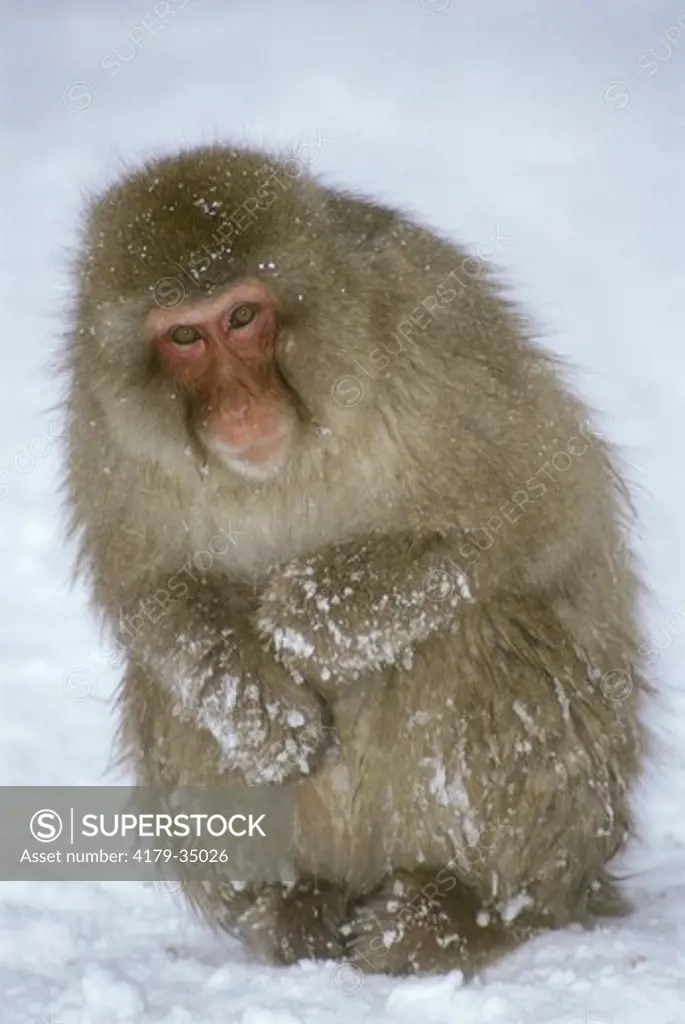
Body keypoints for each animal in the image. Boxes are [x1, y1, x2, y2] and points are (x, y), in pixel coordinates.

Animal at [61, 144, 643, 974]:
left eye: (242, 317)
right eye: (184, 338)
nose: (239, 406)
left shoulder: (433, 328)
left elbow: (534, 515)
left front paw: (304, 620)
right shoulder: (102, 422)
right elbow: (151, 591)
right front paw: (262, 713)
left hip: (575, 817)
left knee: (475, 629)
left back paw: (462, 909)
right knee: (165, 688)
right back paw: (296, 902)